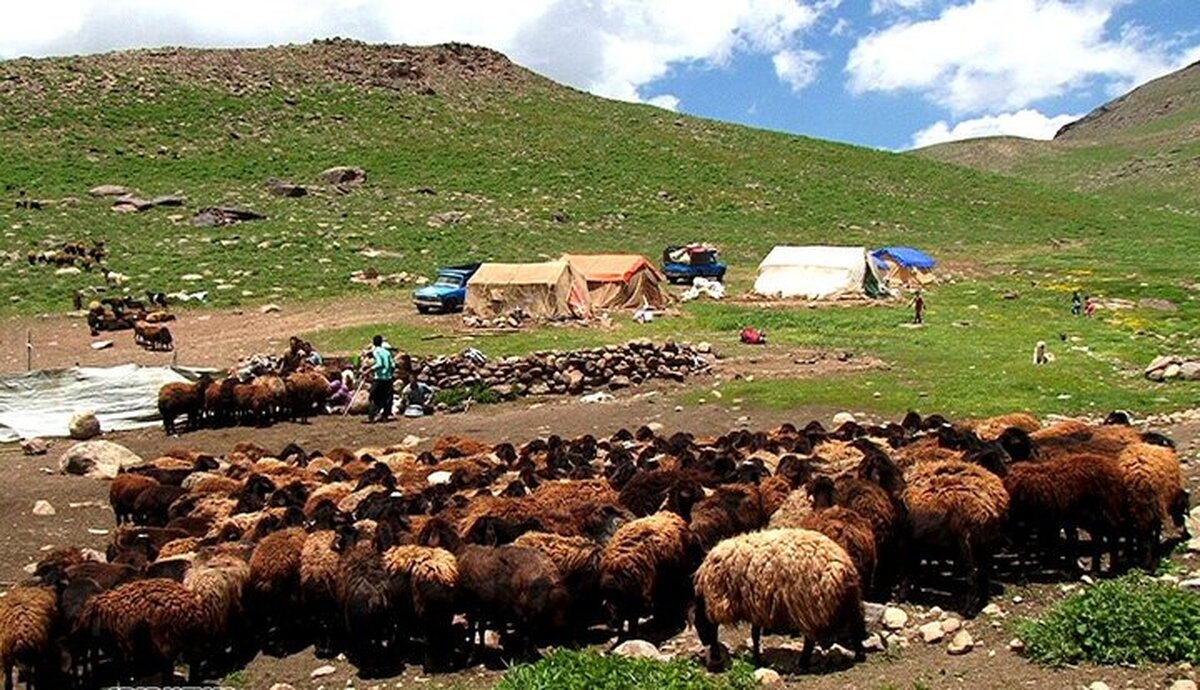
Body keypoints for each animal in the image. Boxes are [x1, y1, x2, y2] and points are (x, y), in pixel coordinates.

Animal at [691, 528, 868, 672]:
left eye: (699, 625)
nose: (704, 642)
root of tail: (844, 567)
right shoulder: (757, 606)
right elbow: (755, 634)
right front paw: (757, 658)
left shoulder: (753, 605)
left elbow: (751, 635)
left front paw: (755, 659)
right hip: (850, 599)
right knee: (856, 624)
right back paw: (859, 654)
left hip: (808, 605)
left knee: (810, 639)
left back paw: (802, 663)